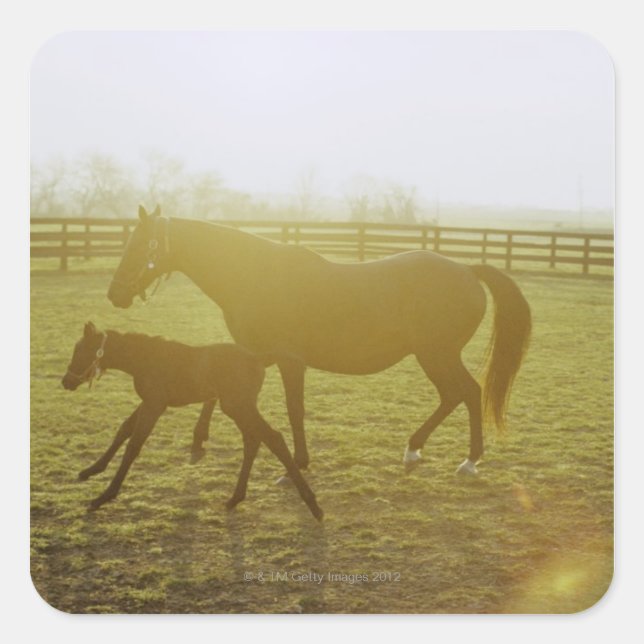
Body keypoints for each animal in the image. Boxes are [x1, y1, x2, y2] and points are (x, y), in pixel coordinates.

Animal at [61, 321, 323, 520]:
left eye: (80, 351)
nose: (66, 381)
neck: (145, 357)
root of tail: (258, 357)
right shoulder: (150, 402)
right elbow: (124, 429)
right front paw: (91, 470)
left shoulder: (155, 404)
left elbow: (134, 444)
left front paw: (104, 496)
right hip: (239, 408)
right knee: (253, 440)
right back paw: (235, 499)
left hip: (238, 406)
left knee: (272, 438)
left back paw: (314, 505)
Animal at [107, 206, 531, 476]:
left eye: (139, 246)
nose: (115, 295)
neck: (255, 275)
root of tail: (466, 269)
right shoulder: (254, 355)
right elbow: (214, 386)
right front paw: (198, 442)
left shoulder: (288, 360)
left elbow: (295, 410)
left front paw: (297, 464)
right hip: (434, 357)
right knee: (454, 396)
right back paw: (415, 449)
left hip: (436, 355)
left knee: (467, 393)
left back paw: (469, 460)